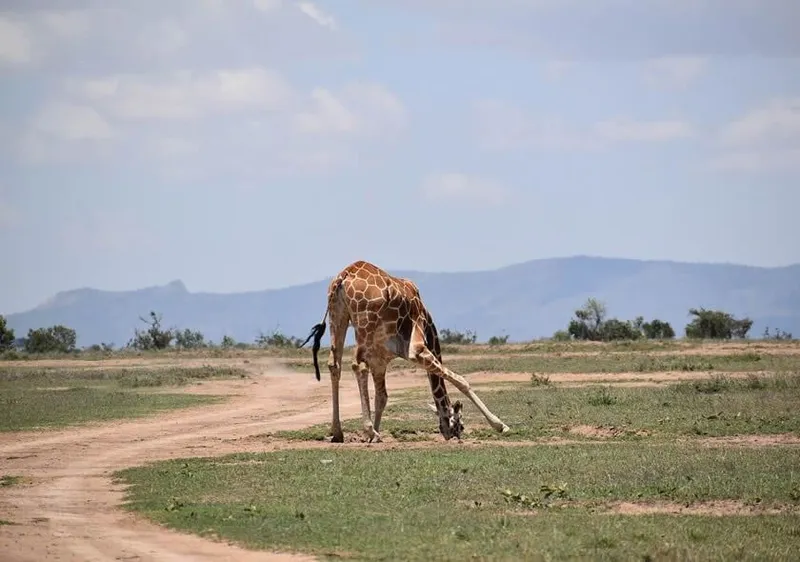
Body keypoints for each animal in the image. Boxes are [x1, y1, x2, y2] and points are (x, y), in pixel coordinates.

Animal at [300, 260, 510, 443]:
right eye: (461, 424)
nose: (453, 435)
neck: (426, 320)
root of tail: (344, 276)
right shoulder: (415, 349)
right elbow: (461, 380)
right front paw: (500, 425)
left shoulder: (380, 359)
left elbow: (382, 397)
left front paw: (373, 434)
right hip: (364, 324)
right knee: (357, 365)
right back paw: (367, 429)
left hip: (338, 315)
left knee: (334, 364)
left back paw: (338, 433)